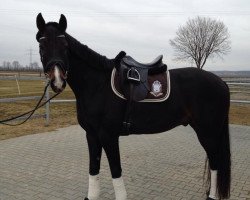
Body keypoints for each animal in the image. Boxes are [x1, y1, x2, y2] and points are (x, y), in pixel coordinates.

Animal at [35, 13, 230, 199]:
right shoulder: (91, 135)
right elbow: (93, 168)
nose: (57, 80)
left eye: (65, 46)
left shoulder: (108, 136)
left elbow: (116, 171)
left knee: (215, 163)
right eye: (41, 46)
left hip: (208, 133)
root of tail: (221, 82)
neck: (97, 85)